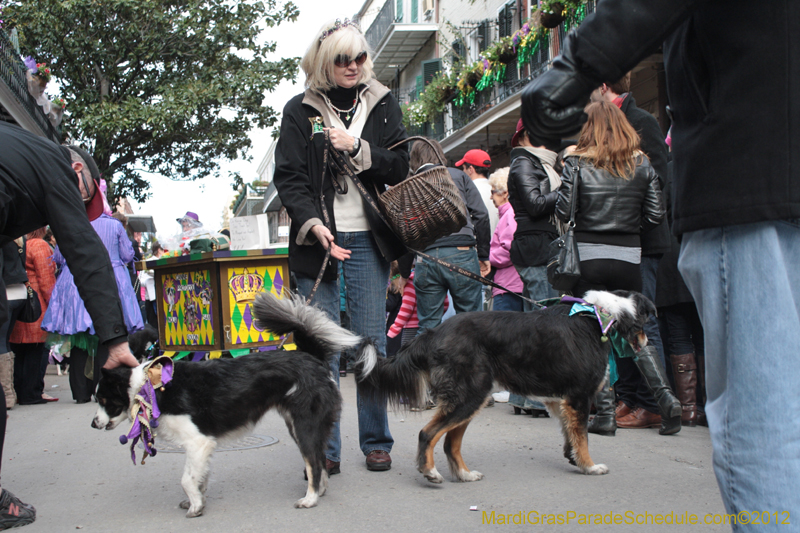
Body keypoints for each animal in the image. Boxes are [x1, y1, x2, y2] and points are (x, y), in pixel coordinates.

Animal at [90, 290, 360, 516]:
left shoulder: (198, 441)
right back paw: (319, 492)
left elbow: (186, 479)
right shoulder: (201, 447)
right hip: (300, 426)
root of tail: (313, 358)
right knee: (320, 459)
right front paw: (197, 499)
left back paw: (310, 499)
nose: (93, 423)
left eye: (103, 399)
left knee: (313, 462)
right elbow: (198, 476)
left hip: (304, 426)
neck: (149, 387)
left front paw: (195, 506)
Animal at [356, 288, 656, 484]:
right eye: (646, 322)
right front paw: (589, 466)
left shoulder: (559, 400)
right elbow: (582, 437)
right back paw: (430, 472)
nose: (645, 343)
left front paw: (573, 458)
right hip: (469, 395)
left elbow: (570, 434)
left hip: (472, 398)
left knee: (450, 443)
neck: (599, 316)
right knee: (428, 434)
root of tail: (434, 332)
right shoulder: (579, 396)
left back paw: (464, 474)